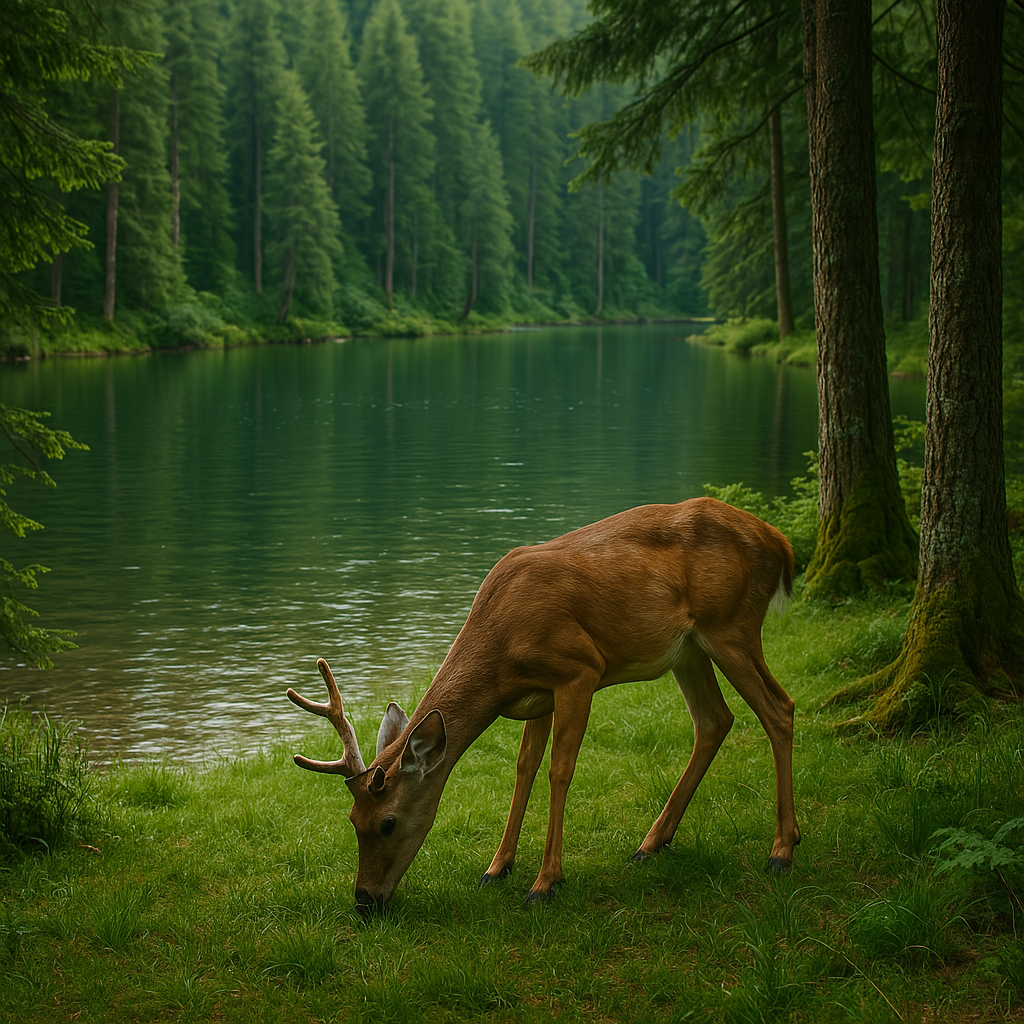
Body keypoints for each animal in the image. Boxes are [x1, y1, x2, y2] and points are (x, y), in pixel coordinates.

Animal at [287, 496, 799, 914]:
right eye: (352, 819)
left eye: (388, 823)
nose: (364, 899)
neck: (500, 653)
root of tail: (781, 542)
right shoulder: (540, 694)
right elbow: (524, 767)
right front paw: (497, 867)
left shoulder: (579, 669)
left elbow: (559, 769)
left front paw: (545, 883)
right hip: (690, 650)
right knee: (715, 720)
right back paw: (651, 843)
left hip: (731, 626)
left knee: (780, 708)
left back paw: (782, 849)